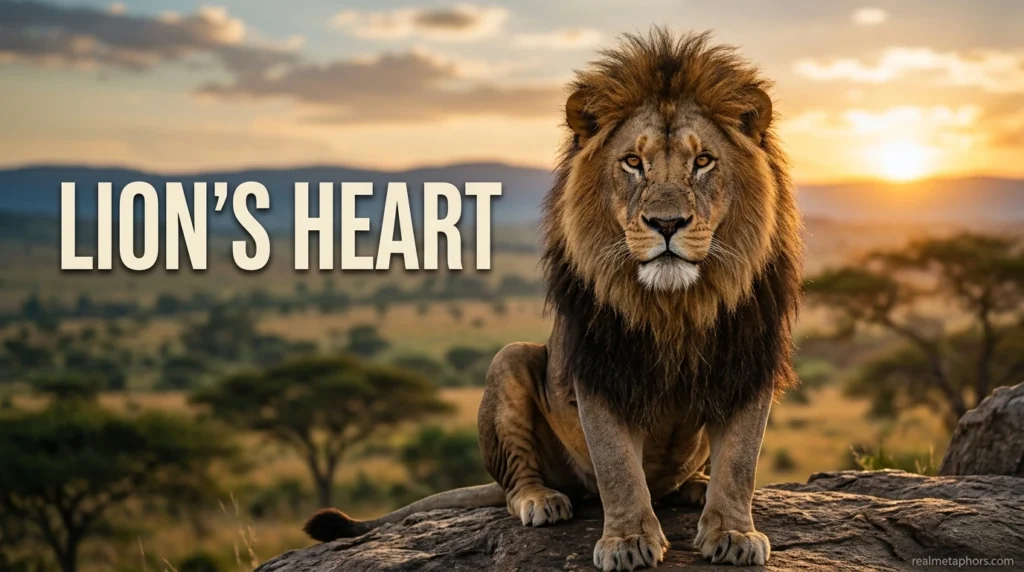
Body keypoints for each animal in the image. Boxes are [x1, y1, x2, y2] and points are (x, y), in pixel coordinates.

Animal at [304, 29, 802, 571]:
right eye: (633, 162)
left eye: (703, 161)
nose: (666, 223)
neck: (675, 305)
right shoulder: (599, 365)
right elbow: (617, 467)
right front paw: (627, 541)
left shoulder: (750, 360)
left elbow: (740, 460)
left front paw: (733, 532)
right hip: (510, 362)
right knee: (517, 484)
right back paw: (541, 499)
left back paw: (695, 486)